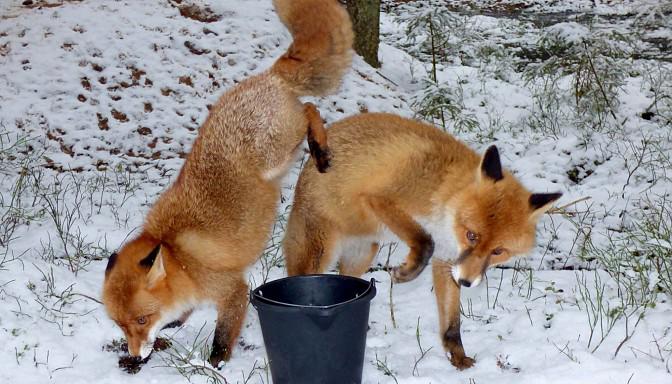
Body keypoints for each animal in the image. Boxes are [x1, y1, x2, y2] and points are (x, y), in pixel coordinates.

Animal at [102, 0, 354, 366]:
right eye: (121, 324)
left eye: (142, 320)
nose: (134, 358)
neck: (179, 257)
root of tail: (267, 76)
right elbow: (184, 312)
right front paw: (178, 321)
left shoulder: (231, 289)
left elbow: (222, 335)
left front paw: (215, 365)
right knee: (309, 106)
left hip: (277, 153)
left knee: (309, 108)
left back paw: (320, 148)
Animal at [284, 113, 560, 368]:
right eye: (471, 235)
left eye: (498, 251)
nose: (467, 282)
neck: (444, 192)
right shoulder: (379, 199)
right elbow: (424, 240)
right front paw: (407, 271)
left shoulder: (449, 260)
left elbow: (451, 323)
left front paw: (458, 358)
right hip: (319, 253)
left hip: (361, 256)